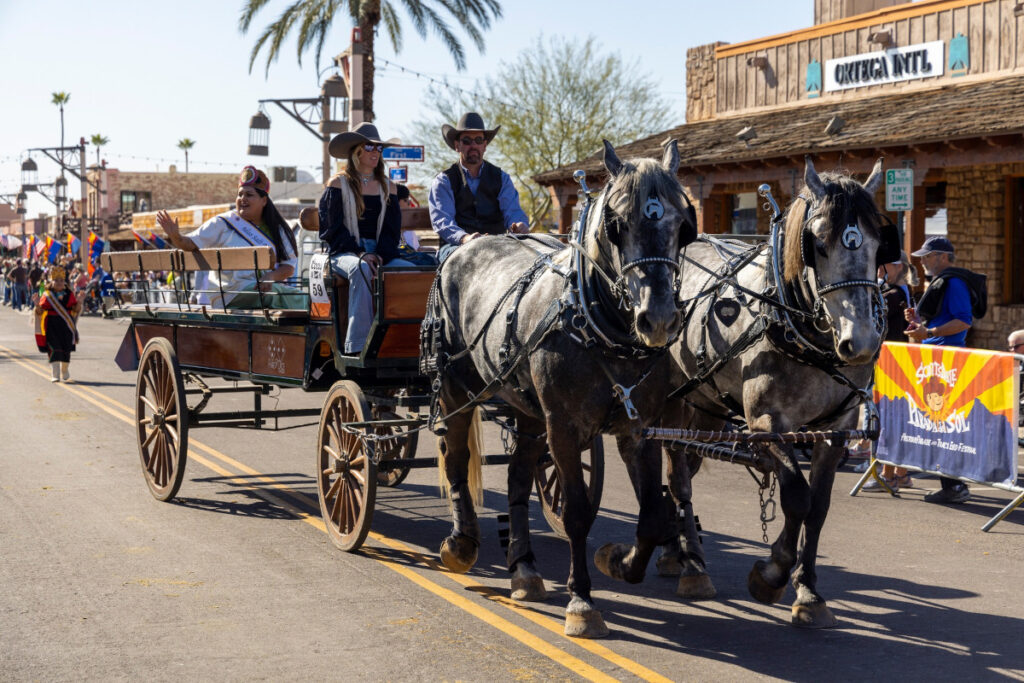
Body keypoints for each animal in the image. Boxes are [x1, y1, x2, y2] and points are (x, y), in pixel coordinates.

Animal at [421, 140, 696, 643]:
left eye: (682, 225)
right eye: (616, 223)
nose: (659, 319)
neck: (599, 326)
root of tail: (464, 249)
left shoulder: (639, 428)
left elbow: (652, 515)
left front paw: (617, 561)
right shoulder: (565, 429)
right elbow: (576, 514)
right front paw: (582, 602)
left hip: (528, 410)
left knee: (517, 476)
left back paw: (524, 570)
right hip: (454, 390)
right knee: (455, 459)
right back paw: (461, 544)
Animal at [602, 157, 892, 626]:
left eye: (879, 243)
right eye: (817, 244)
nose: (860, 341)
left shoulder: (837, 430)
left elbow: (819, 507)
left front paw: (808, 590)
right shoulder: (765, 424)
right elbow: (796, 496)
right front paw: (772, 572)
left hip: (706, 406)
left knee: (683, 471)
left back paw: (674, 551)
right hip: (672, 404)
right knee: (676, 477)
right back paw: (693, 566)